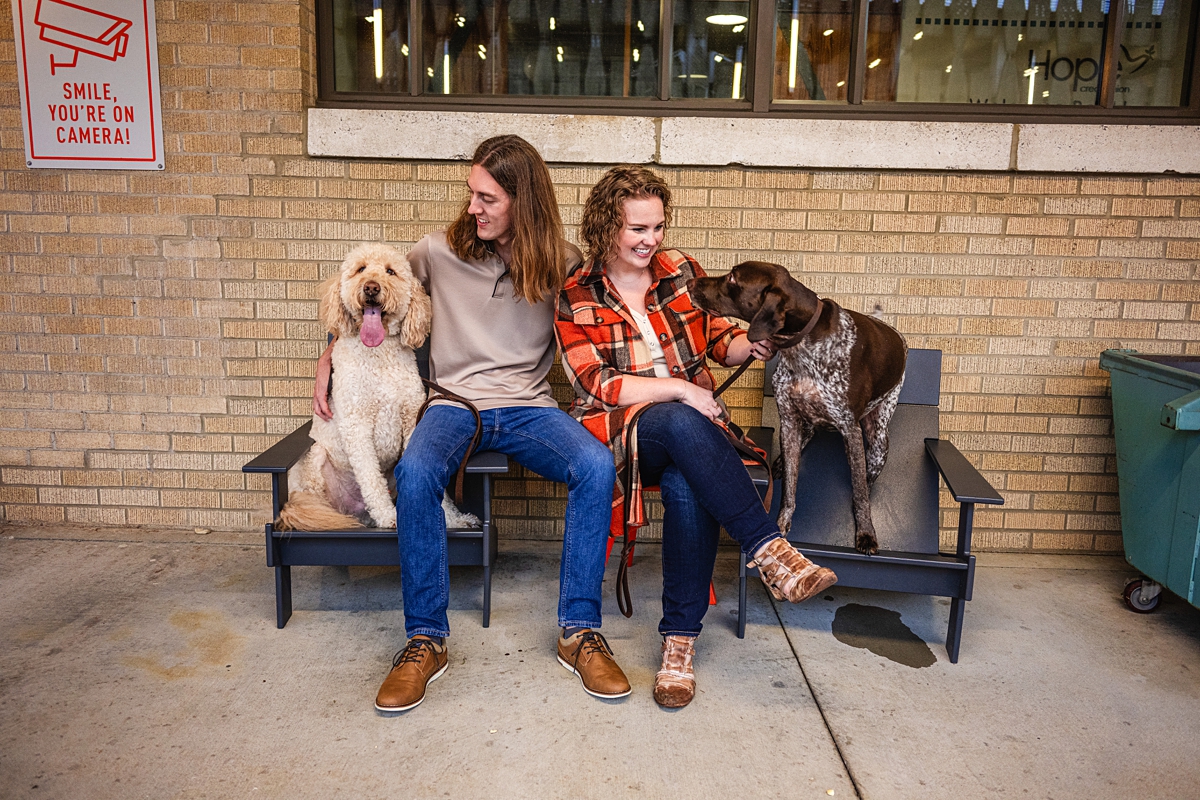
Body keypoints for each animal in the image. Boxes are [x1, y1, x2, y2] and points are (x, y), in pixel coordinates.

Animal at [276, 244, 477, 532]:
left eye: (390, 271)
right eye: (360, 269)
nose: (371, 287)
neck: (379, 356)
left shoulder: (411, 417)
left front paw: (450, 517)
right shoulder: (356, 425)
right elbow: (371, 477)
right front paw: (388, 516)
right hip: (316, 461)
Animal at [691, 260, 902, 554]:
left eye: (733, 278)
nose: (690, 283)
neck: (803, 345)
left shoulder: (850, 430)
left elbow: (860, 492)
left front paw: (866, 533)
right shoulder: (789, 421)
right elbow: (789, 489)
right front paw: (781, 524)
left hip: (879, 436)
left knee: (866, 479)